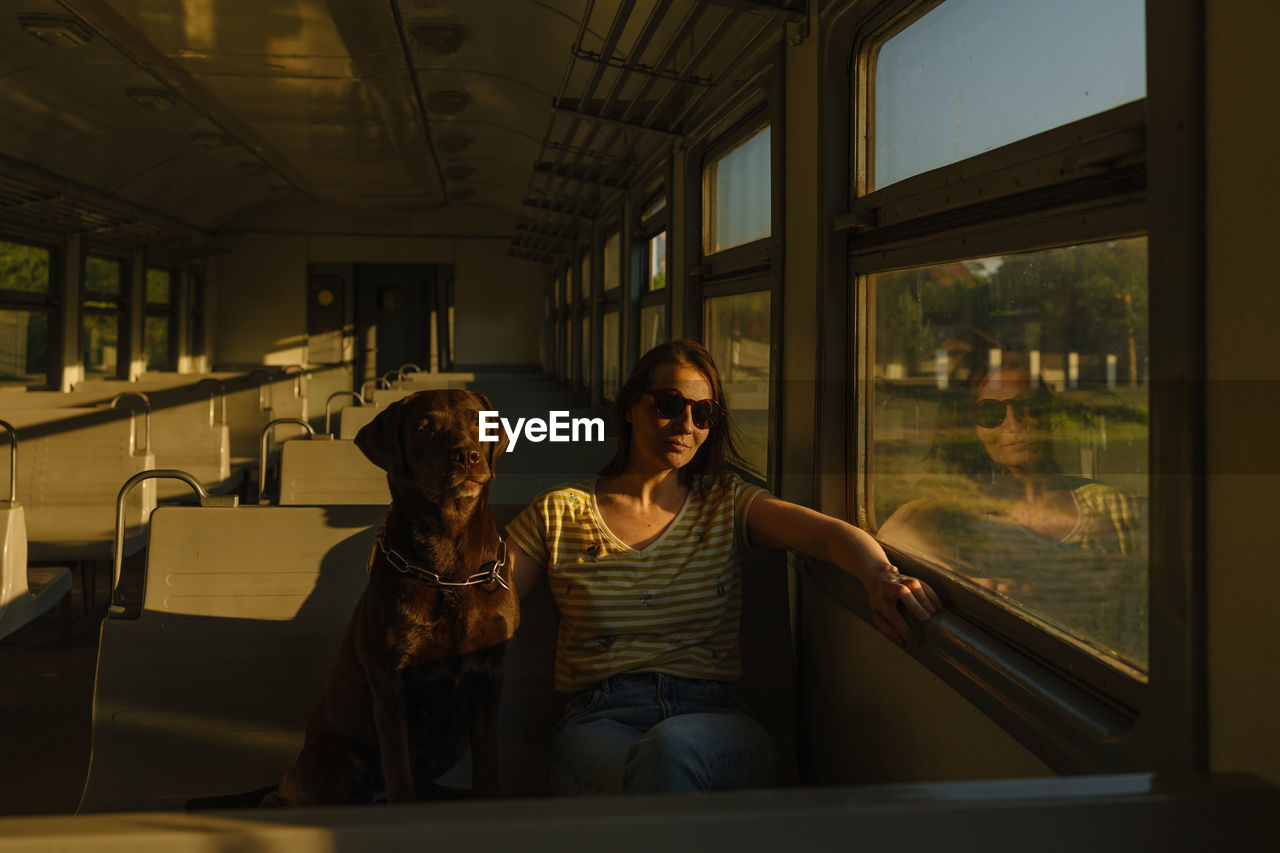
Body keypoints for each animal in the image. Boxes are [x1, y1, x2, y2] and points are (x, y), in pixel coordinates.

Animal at [257, 389, 517, 799]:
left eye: (480, 422)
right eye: (425, 427)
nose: (467, 456)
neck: (450, 571)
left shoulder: (490, 673)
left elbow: (487, 759)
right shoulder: (389, 679)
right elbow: (398, 767)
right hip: (340, 757)